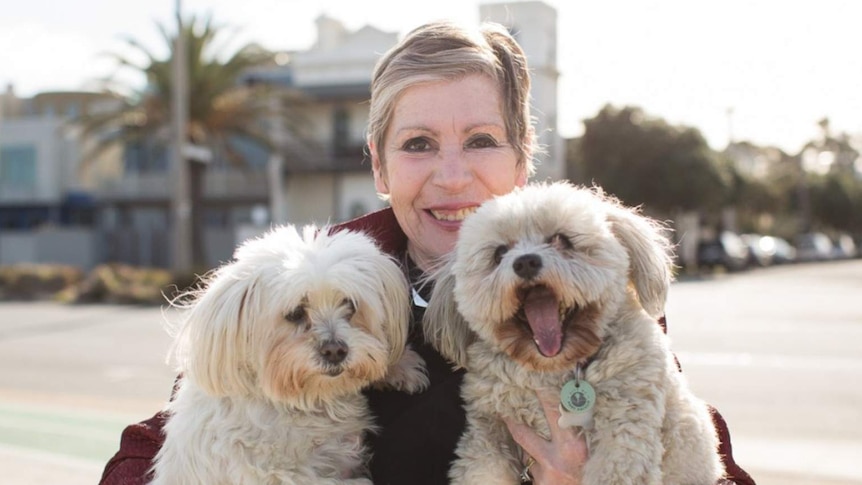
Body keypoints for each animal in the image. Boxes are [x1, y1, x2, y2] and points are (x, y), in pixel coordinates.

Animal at [152, 225, 432, 484]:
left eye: (350, 304)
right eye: (295, 313)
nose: (335, 350)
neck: (300, 399)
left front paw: (400, 367)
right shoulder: (276, 475)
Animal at [428, 182, 724, 484]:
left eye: (562, 240)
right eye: (499, 253)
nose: (525, 262)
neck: (557, 370)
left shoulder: (624, 436)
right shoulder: (487, 436)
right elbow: (483, 467)